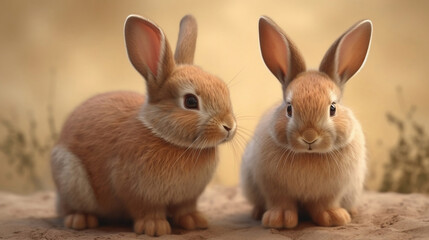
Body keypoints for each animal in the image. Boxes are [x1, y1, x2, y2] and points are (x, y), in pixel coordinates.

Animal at [51, 15, 237, 236]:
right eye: (191, 101)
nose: (229, 126)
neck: (166, 137)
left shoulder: (187, 198)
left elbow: (185, 208)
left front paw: (194, 221)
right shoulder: (136, 191)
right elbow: (146, 209)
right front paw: (154, 227)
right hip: (69, 176)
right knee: (70, 207)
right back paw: (81, 220)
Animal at [241, 15, 372, 230]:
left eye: (333, 108)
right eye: (289, 109)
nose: (309, 137)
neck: (309, 156)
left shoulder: (333, 190)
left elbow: (324, 204)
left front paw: (334, 217)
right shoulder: (274, 187)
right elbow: (281, 202)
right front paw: (279, 220)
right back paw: (257, 213)